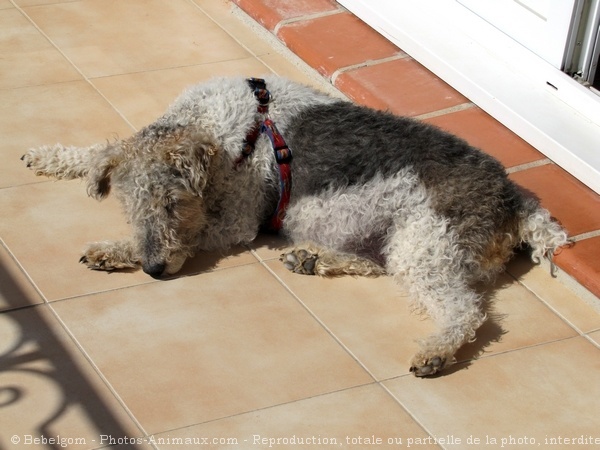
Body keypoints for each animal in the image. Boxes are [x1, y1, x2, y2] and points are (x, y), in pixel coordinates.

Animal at [22, 76, 568, 376]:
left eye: (173, 204)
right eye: (131, 206)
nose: (156, 268)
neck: (227, 132)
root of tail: (515, 197)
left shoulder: (236, 219)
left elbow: (200, 233)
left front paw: (112, 250)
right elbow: (99, 150)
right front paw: (47, 156)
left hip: (427, 245)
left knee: (466, 312)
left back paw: (435, 352)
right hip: (398, 242)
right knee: (378, 266)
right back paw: (312, 257)